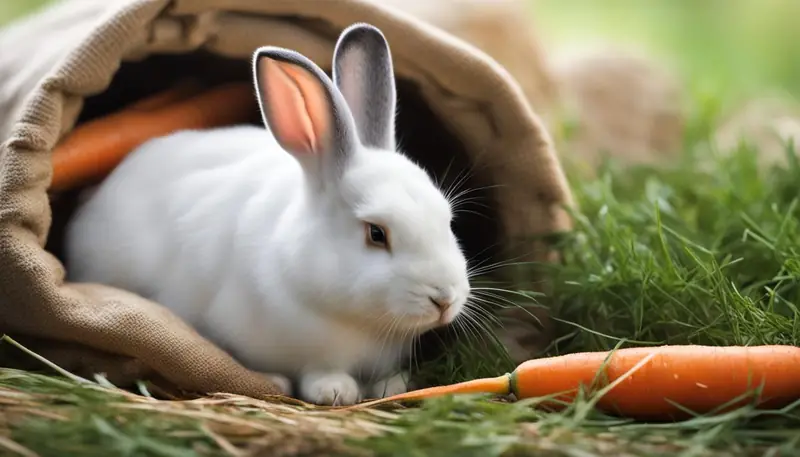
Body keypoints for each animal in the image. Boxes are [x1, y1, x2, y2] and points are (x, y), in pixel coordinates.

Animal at [64, 23, 471, 406]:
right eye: (376, 233)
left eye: (448, 220)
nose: (444, 300)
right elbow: (309, 372)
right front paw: (332, 390)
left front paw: (394, 384)